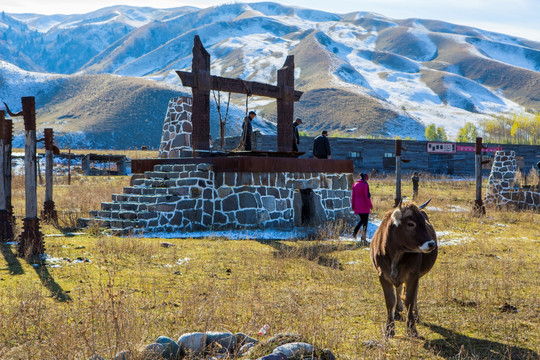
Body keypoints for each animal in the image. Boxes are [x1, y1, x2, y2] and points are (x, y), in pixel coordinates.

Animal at [370, 200, 436, 338]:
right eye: (411, 223)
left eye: (424, 223)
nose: (432, 244)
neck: (396, 254)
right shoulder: (382, 275)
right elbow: (390, 301)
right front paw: (389, 328)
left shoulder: (413, 275)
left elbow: (409, 300)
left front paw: (411, 328)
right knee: (399, 289)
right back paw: (397, 311)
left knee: (413, 293)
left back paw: (415, 314)